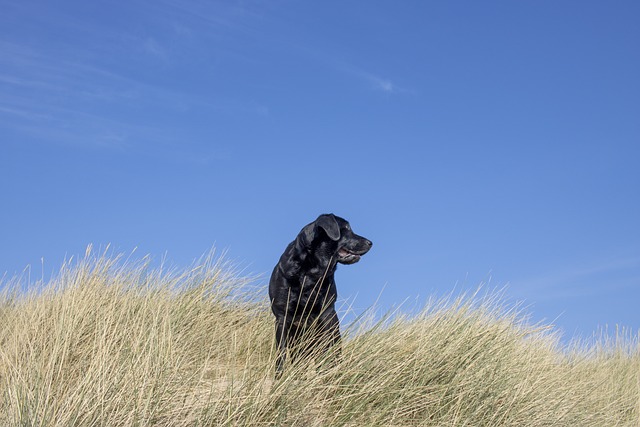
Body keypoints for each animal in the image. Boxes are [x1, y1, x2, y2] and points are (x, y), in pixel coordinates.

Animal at [268, 216, 370, 376]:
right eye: (347, 228)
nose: (370, 243)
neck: (310, 272)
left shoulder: (327, 313)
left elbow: (331, 349)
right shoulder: (281, 317)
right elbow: (281, 354)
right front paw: (279, 378)